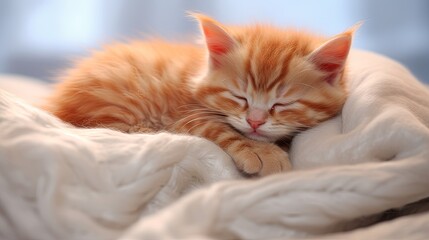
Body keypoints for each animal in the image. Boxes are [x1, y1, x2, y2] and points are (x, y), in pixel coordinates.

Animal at [46, 14, 352, 176]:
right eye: (239, 96)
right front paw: (262, 151)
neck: (196, 73)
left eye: (283, 103)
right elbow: (221, 129)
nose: (254, 121)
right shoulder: (187, 114)